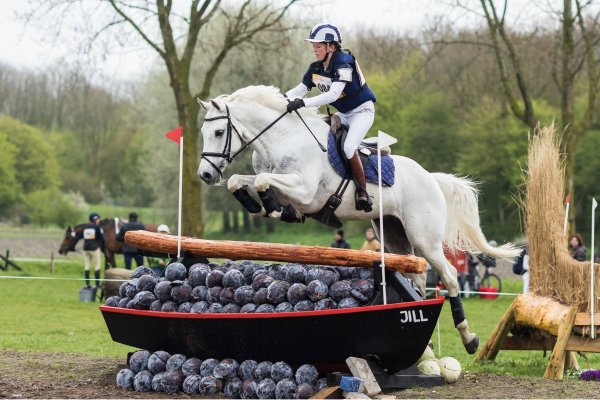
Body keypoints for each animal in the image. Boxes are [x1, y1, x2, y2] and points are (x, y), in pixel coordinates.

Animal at [198, 84, 520, 354]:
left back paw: (469, 338)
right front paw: (264, 207)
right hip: (394, 237)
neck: (282, 139)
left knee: (450, 276)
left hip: (424, 238)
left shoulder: (305, 191)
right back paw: (427, 343)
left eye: (218, 132)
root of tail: (430, 177)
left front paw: (275, 208)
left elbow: (264, 181)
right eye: (204, 132)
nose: (205, 175)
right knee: (417, 275)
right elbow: (240, 181)